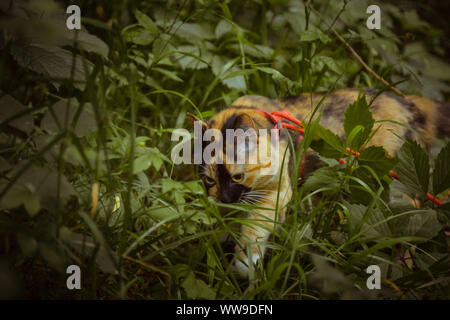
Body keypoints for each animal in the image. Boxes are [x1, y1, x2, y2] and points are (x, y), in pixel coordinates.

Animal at [188, 88, 448, 278]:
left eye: (237, 177)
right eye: (209, 180)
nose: (225, 199)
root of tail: (408, 102)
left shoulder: (277, 192)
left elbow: (256, 226)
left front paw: (245, 263)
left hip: (391, 188)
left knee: (410, 221)